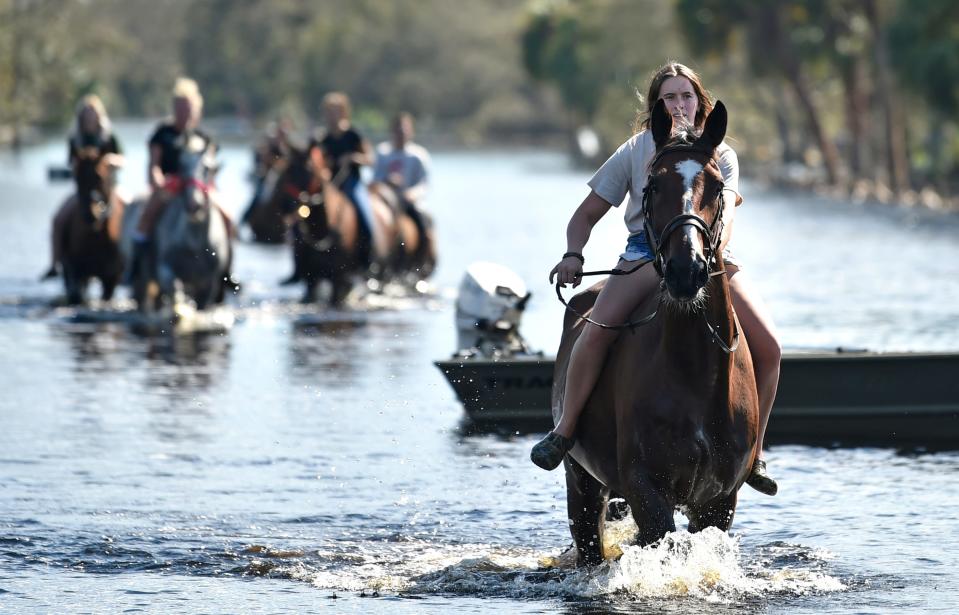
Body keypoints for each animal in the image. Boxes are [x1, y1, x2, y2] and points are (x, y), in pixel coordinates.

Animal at [57, 147, 125, 306]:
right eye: (76, 178)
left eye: (100, 177)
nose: (90, 214)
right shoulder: (75, 270)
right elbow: (75, 294)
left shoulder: (111, 278)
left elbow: (107, 295)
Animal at [556, 102, 756, 568]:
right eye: (653, 184)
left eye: (717, 186)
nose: (687, 270)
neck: (695, 370)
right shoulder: (644, 486)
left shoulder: (720, 500)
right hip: (581, 481)